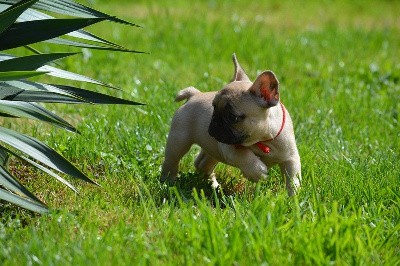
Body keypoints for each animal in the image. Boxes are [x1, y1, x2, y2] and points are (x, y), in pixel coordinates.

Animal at [160, 54, 300, 195]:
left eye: (233, 117)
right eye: (214, 107)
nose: (215, 121)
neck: (264, 140)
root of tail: (194, 94)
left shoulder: (291, 158)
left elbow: (292, 178)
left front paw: (293, 197)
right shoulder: (228, 148)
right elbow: (244, 156)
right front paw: (257, 172)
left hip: (211, 148)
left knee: (202, 164)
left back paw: (214, 185)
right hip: (179, 141)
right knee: (171, 162)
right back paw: (168, 183)